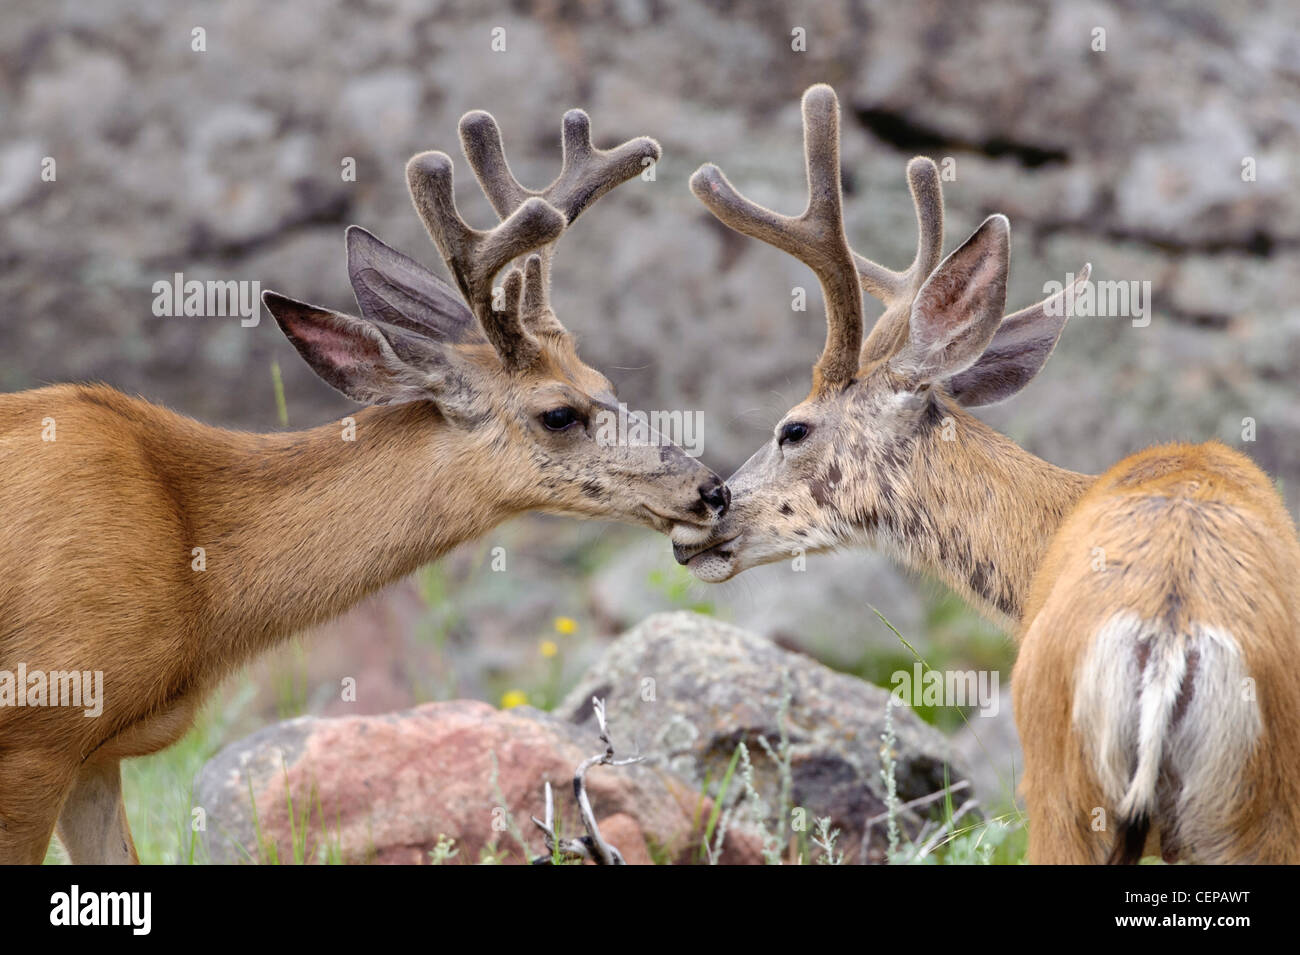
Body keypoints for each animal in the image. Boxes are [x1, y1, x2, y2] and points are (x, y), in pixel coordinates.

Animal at [0, 107, 730, 865]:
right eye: (559, 413)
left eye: (605, 381)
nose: (712, 490)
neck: (194, 559)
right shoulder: (38, 724)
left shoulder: (96, 754)